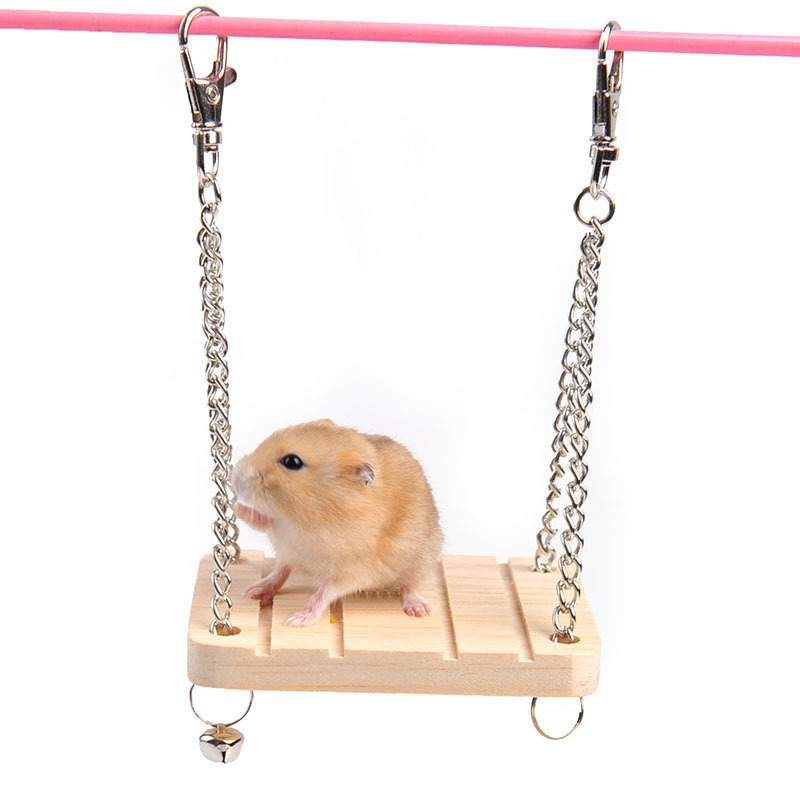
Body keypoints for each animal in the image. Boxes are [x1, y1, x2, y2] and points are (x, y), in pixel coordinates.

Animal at [232, 419, 444, 627]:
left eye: (292, 461)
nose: (234, 475)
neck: (304, 518)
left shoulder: (352, 572)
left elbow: (323, 594)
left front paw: (296, 621)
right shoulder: (282, 534)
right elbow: (263, 523)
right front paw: (236, 507)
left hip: (421, 561)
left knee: (410, 585)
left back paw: (419, 610)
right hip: (287, 555)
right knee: (280, 572)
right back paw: (252, 591)